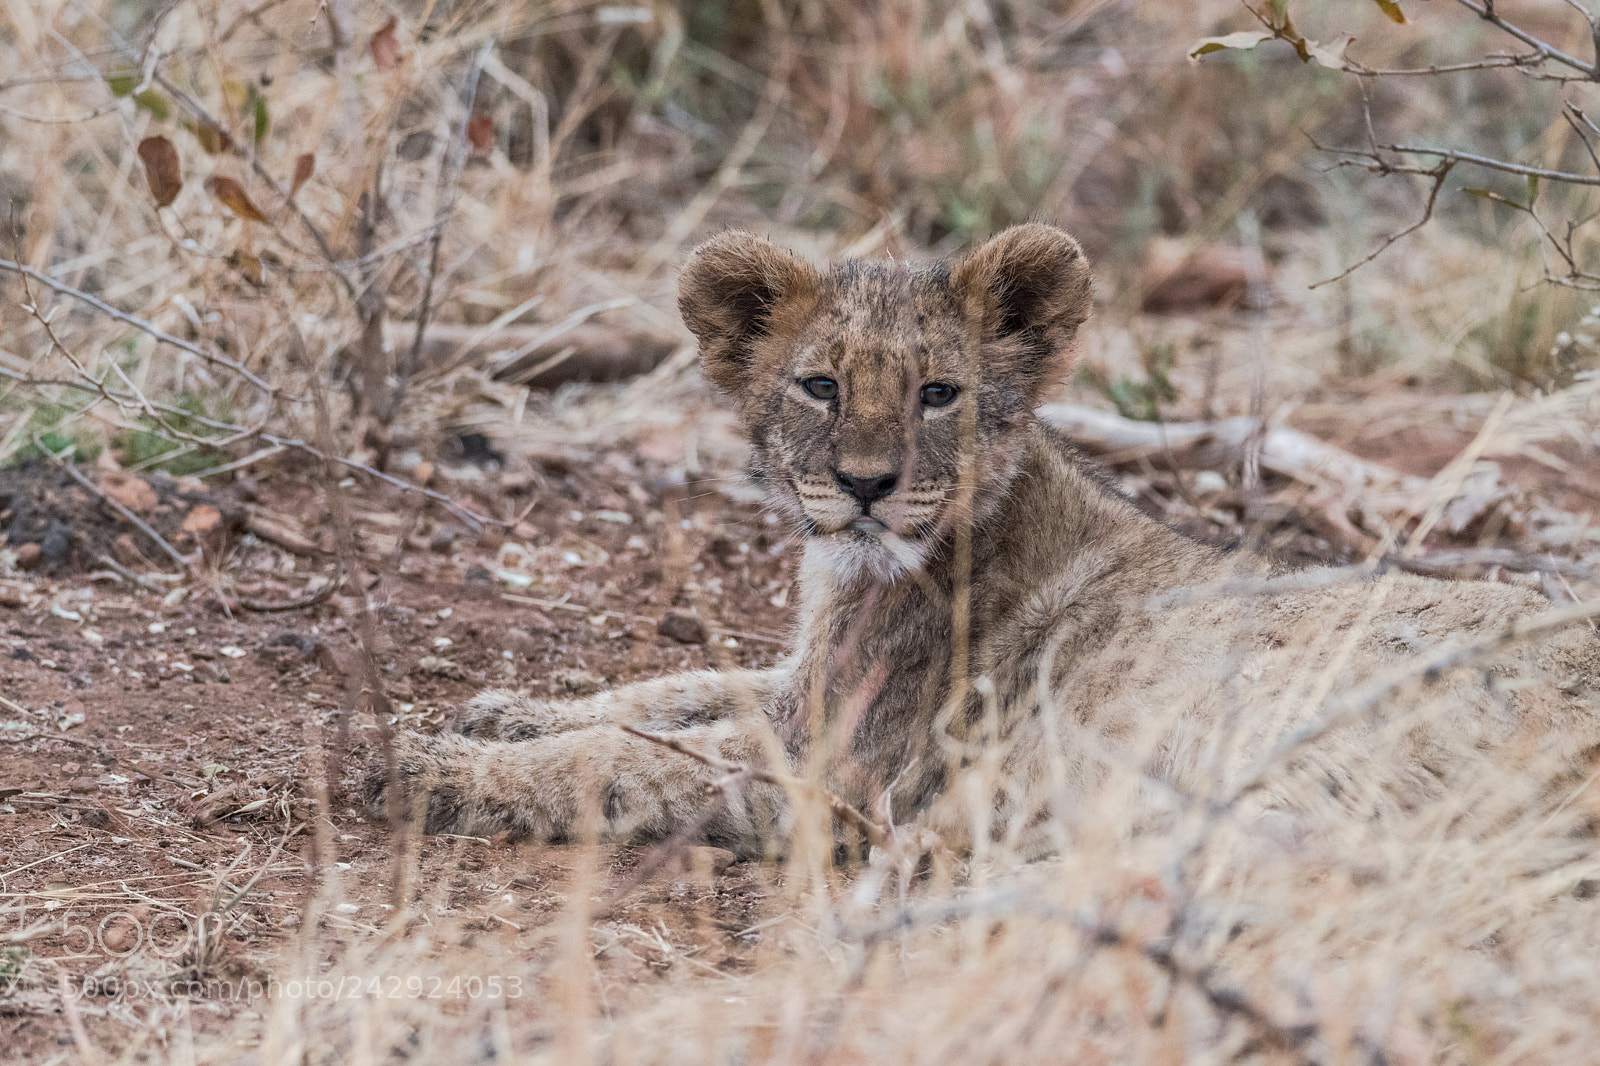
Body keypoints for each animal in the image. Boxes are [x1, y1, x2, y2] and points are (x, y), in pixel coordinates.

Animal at [368, 224, 1600, 857]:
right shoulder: (800, 686)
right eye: (819, 385)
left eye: (939, 394)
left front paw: (429, 768)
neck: (857, 573)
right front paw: (498, 711)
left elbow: (625, 763)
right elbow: (666, 687)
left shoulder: (836, 765)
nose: (865, 487)